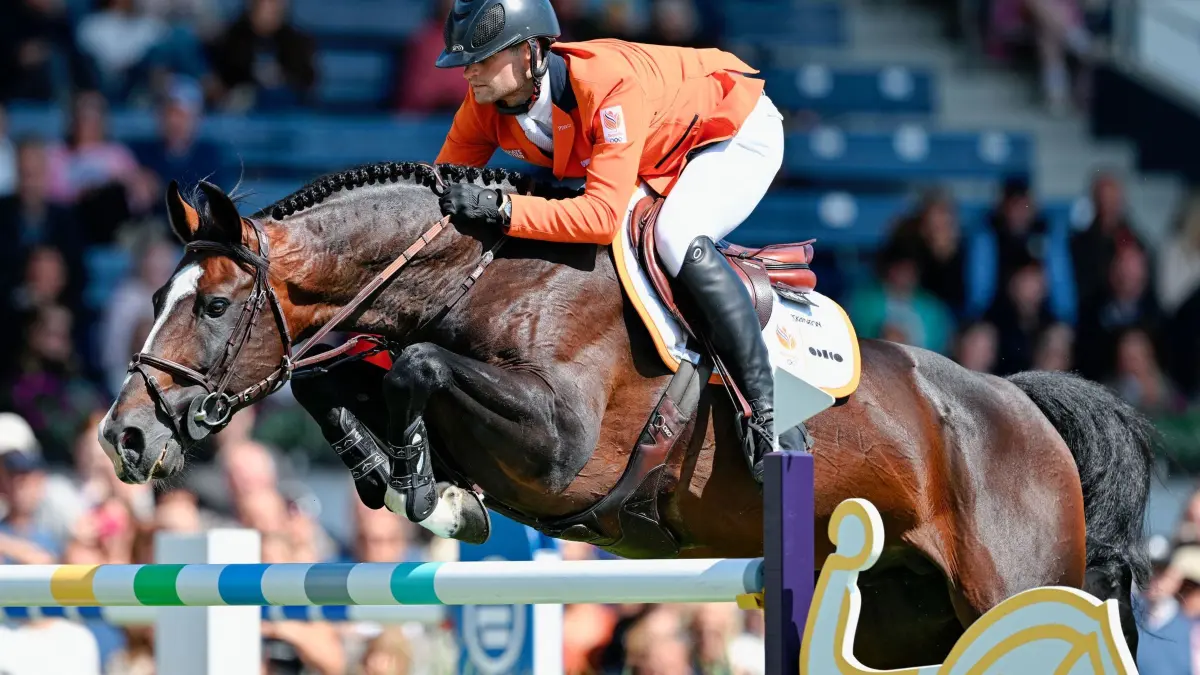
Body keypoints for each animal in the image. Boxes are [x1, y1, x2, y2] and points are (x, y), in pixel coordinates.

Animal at [97, 162, 1153, 668]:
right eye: (154, 294)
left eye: (215, 305)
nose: (125, 436)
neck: (482, 275)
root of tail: (1020, 403)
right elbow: (341, 383)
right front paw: (405, 480)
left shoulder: (560, 447)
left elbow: (418, 370)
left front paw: (430, 491)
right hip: (906, 614)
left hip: (1010, 585)